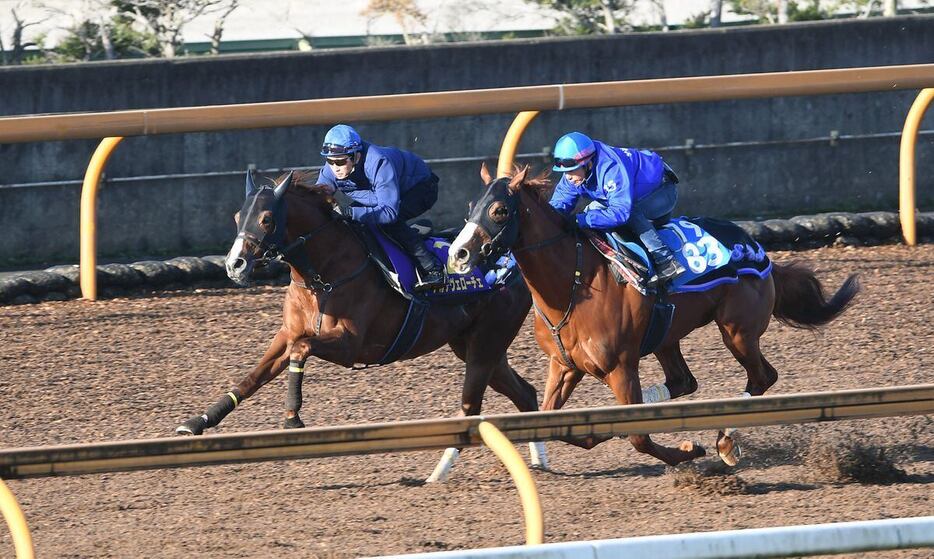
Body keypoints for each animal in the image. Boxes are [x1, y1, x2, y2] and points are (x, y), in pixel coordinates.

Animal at [176, 171, 544, 482]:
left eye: (267, 219)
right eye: (238, 217)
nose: (234, 265)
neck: (323, 276)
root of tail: (511, 265)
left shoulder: (350, 345)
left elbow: (301, 349)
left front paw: (292, 416)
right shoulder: (287, 333)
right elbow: (252, 378)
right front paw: (196, 423)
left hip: (485, 344)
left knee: (472, 408)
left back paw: (438, 474)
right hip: (476, 347)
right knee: (525, 393)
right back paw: (540, 460)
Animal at [450, 165, 860, 468]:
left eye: (499, 210)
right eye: (470, 206)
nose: (459, 254)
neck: (575, 284)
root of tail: (759, 250)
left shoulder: (620, 367)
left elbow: (639, 436)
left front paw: (688, 450)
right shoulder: (564, 365)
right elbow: (553, 422)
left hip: (738, 331)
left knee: (762, 377)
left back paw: (725, 442)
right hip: (667, 334)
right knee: (684, 381)